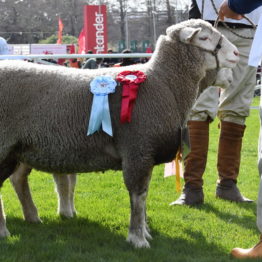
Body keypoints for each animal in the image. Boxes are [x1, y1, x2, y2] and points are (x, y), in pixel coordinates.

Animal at [0, 18, 238, 248]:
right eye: (204, 37)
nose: (236, 54)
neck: (165, 84)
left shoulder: (145, 152)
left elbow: (144, 195)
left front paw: (144, 232)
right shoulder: (137, 149)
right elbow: (138, 196)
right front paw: (138, 238)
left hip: (20, 149)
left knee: (18, 179)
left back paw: (32, 217)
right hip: (5, 145)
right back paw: (5, 231)